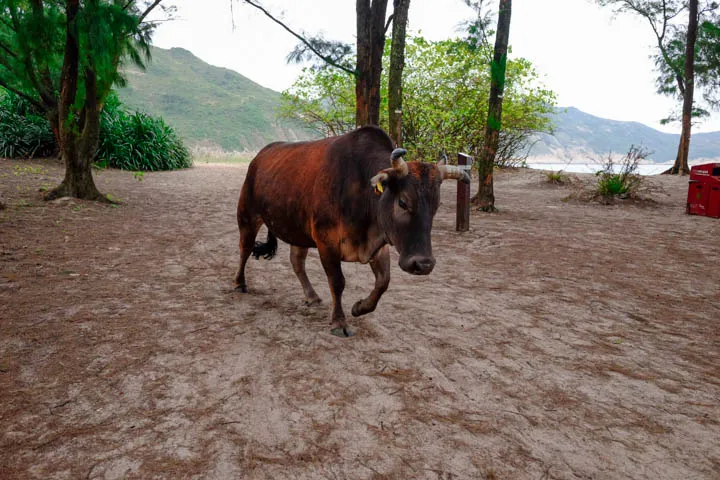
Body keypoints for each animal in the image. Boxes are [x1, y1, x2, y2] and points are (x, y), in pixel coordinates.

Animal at [236, 127, 470, 338]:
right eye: (403, 202)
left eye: (436, 205)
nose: (423, 264)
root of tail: (260, 156)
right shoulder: (326, 243)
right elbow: (338, 282)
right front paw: (339, 323)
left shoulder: (379, 244)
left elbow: (384, 281)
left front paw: (359, 307)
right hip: (247, 216)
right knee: (245, 249)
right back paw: (239, 283)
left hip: (298, 230)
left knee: (296, 261)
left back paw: (311, 296)